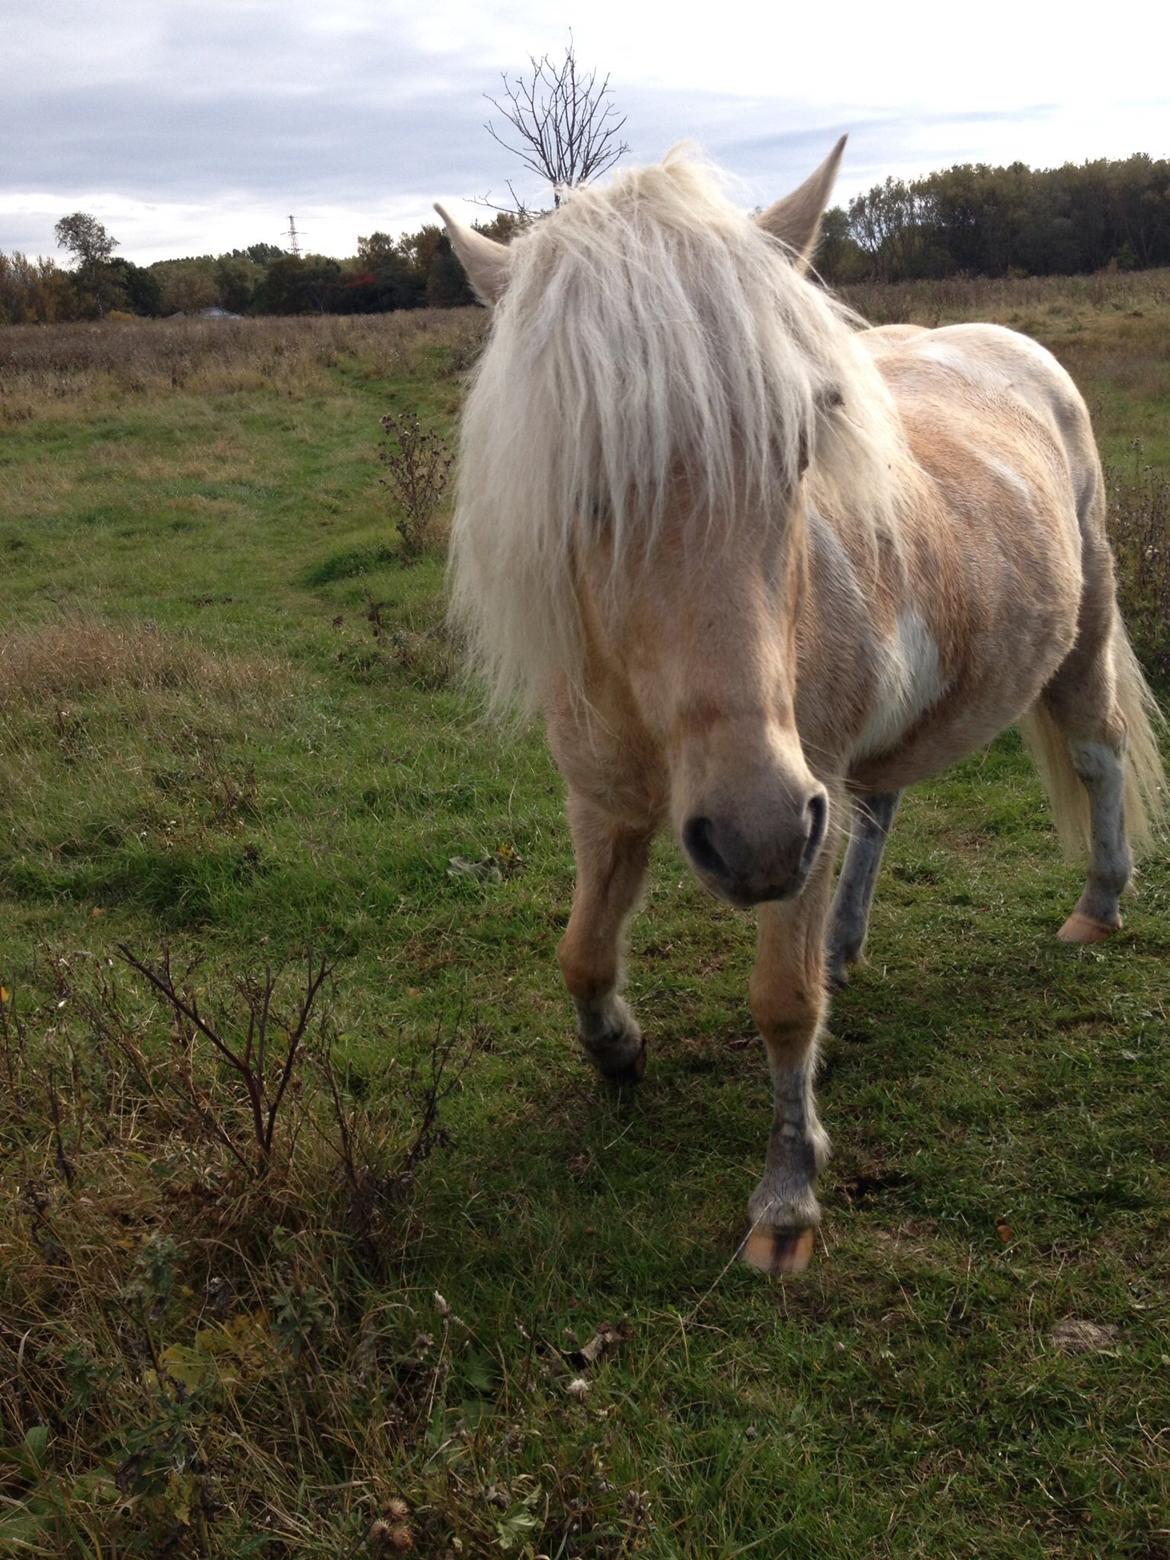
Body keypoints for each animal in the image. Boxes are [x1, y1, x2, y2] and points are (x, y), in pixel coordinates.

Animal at [436, 140, 1166, 1272]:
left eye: (794, 450)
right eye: (584, 485)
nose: (755, 834)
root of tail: (1017, 346)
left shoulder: (797, 790)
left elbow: (783, 1004)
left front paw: (787, 1201)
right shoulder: (607, 804)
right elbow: (581, 953)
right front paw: (619, 1052)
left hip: (1075, 635)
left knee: (1097, 755)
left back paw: (1097, 905)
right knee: (881, 807)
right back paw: (849, 941)